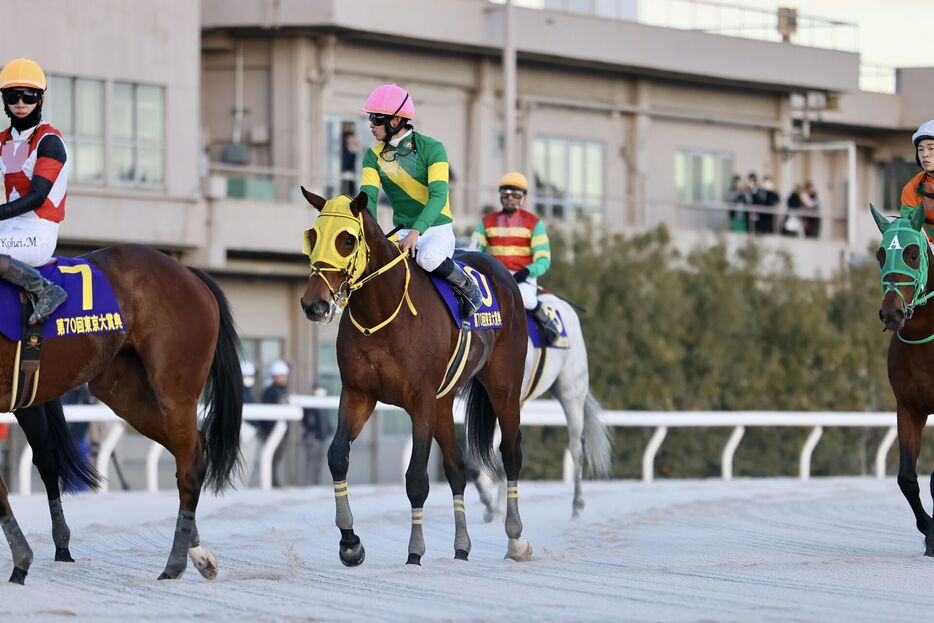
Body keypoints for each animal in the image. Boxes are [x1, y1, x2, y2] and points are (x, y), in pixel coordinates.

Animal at [0, 245, 241, 584]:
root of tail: (189, 273)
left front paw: (22, 562)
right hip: (121, 390)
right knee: (194, 446)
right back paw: (198, 554)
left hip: (174, 389)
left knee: (190, 463)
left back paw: (174, 565)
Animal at [300, 190, 532, 564]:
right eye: (312, 236)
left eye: (347, 240)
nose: (314, 305)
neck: (382, 311)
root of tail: (502, 273)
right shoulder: (358, 394)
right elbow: (337, 456)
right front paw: (350, 542)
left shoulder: (420, 399)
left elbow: (417, 478)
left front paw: (414, 552)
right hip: (444, 402)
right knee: (456, 468)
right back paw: (461, 547)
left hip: (504, 388)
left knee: (511, 453)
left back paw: (516, 540)